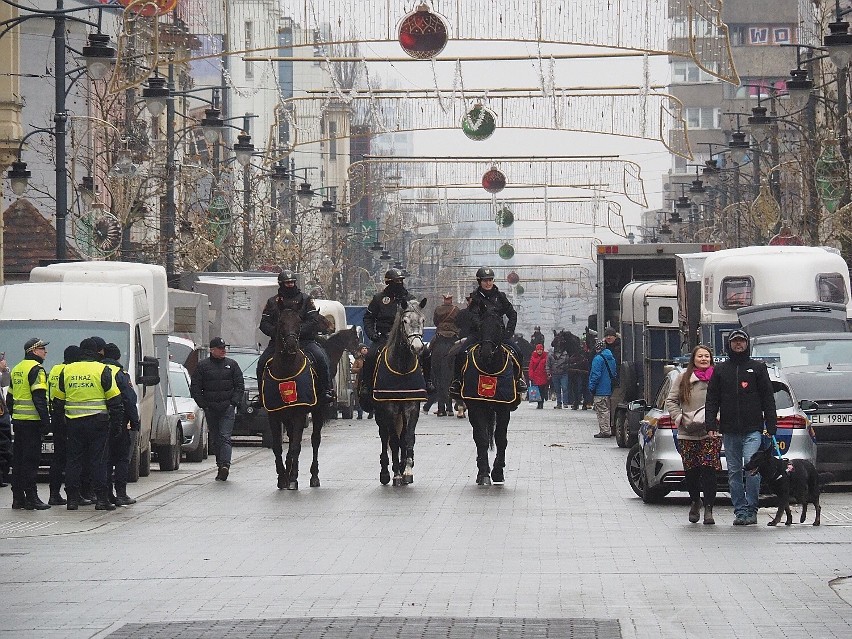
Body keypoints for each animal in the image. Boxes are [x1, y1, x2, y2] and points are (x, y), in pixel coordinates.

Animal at [262, 308, 324, 492]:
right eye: (281, 322)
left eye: (299, 323)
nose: (291, 345)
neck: (286, 370)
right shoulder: (274, 414)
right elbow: (278, 446)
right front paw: (282, 477)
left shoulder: (299, 413)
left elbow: (295, 446)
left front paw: (293, 479)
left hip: (318, 411)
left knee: (315, 440)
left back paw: (314, 476)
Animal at [372, 300, 426, 484]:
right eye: (405, 321)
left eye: (423, 320)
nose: (417, 347)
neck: (402, 368)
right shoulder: (389, 408)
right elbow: (393, 441)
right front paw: (396, 473)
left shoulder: (412, 406)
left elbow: (408, 438)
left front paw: (407, 470)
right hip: (380, 413)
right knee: (384, 436)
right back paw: (385, 472)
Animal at [462, 310, 516, 484]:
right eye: (480, 326)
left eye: (499, 327)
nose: (486, 353)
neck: (490, 368)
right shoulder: (476, 407)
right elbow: (482, 438)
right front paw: (484, 473)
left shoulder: (504, 407)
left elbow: (500, 438)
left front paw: (498, 471)